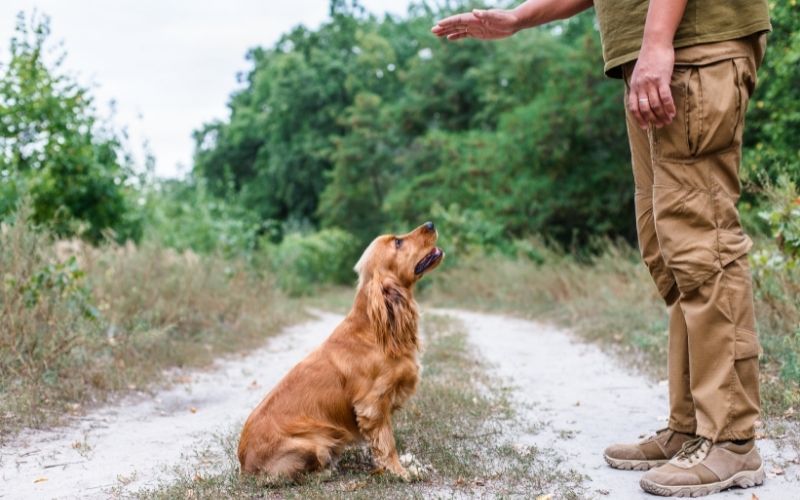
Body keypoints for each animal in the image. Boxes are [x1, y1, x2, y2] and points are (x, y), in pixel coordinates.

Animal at [241, 222, 444, 480]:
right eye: (398, 242)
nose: (430, 224)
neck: (374, 329)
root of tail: (244, 464)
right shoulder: (372, 405)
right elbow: (387, 443)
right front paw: (400, 471)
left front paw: (407, 463)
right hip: (317, 440)